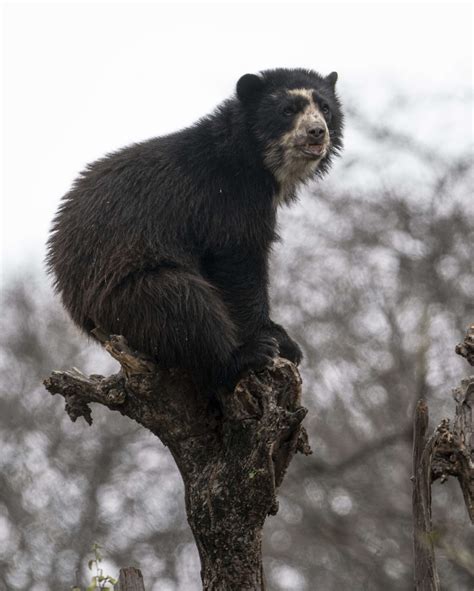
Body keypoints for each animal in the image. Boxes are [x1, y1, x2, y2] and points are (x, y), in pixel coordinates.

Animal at [46, 68, 342, 388]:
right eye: (287, 110)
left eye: (325, 108)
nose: (317, 132)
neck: (254, 162)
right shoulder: (226, 200)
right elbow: (238, 262)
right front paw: (278, 340)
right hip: (122, 292)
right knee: (184, 305)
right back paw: (241, 357)